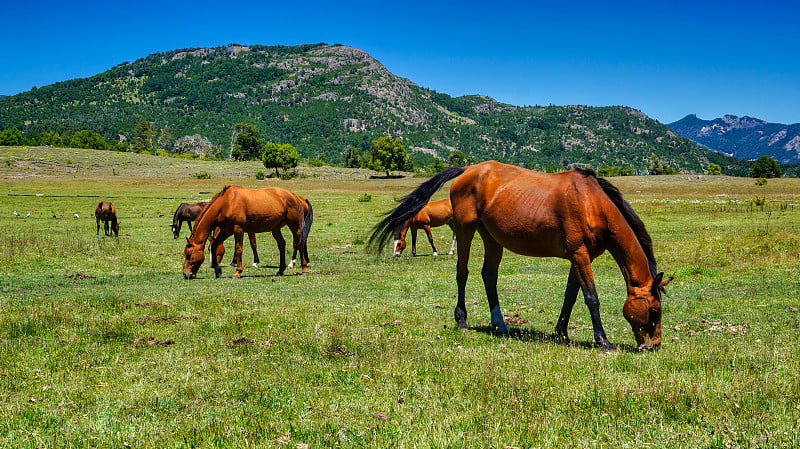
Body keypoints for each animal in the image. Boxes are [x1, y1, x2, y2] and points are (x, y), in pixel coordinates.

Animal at [184, 185, 312, 276]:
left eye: (189, 255)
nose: (185, 274)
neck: (227, 203)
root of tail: (293, 195)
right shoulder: (226, 231)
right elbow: (216, 244)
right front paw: (217, 270)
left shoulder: (238, 229)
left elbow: (239, 249)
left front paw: (237, 272)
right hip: (275, 228)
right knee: (282, 244)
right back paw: (280, 270)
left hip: (295, 226)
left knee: (299, 243)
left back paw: (303, 269)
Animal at [372, 161, 672, 350]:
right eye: (654, 310)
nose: (654, 346)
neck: (592, 203)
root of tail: (469, 169)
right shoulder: (580, 254)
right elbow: (591, 298)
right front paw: (603, 341)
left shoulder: (578, 257)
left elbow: (570, 296)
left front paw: (561, 333)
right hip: (466, 229)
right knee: (463, 272)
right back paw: (462, 321)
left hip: (491, 238)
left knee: (488, 276)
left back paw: (501, 325)